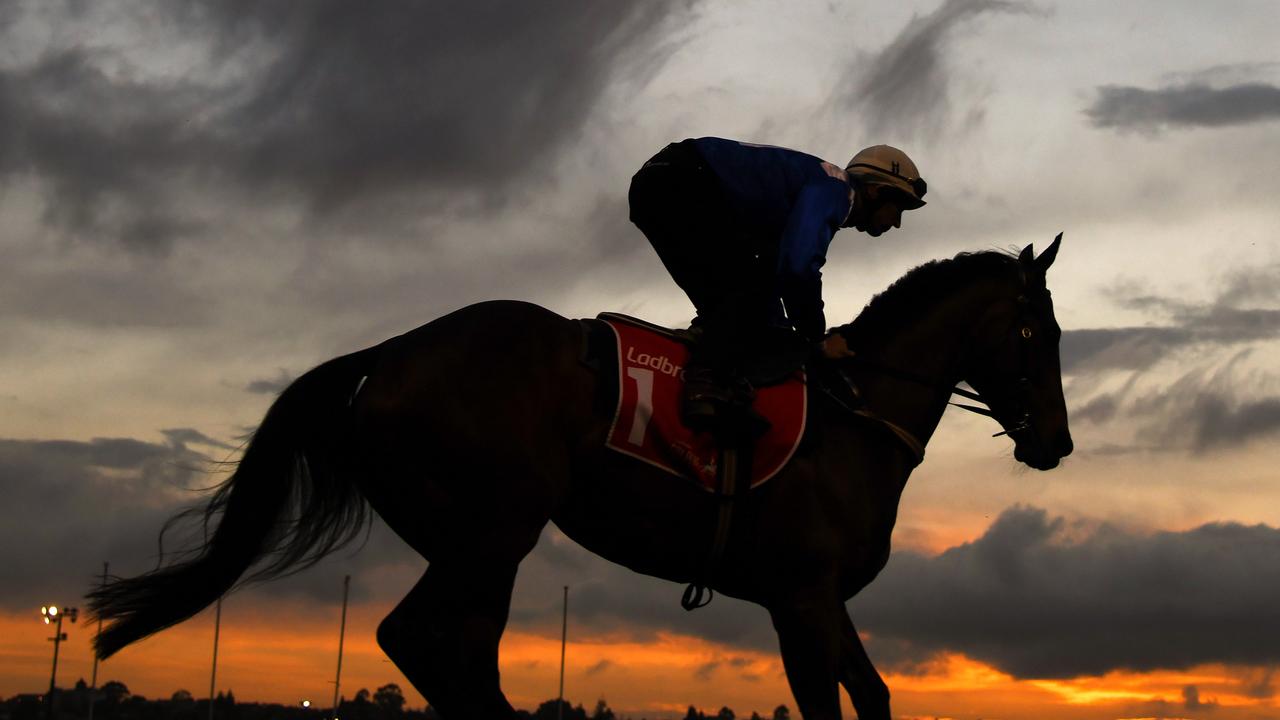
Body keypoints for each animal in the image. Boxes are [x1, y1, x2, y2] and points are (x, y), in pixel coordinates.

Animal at [87, 233, 1070, 712]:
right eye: (1035, 331)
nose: (1055, 444)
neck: (853, 415)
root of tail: (393, 352)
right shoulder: (801, 598)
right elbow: (830, 705)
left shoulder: (822, 598)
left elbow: (872, 696)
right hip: (493, 529)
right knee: (419, 641)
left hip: (479, 545)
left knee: (459, 653)